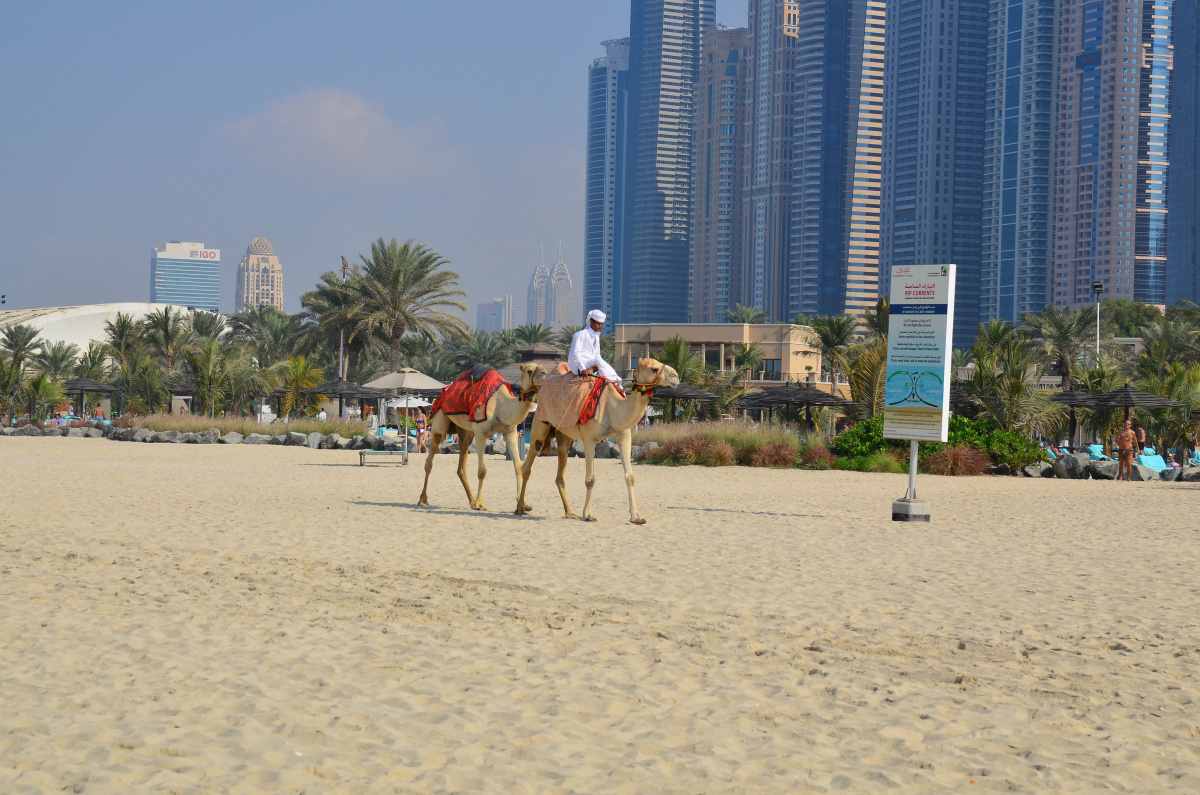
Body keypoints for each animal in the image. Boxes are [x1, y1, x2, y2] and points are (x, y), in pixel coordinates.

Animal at [417, 365, 549, 513]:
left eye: (544, 369)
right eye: (529, 370)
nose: (545, 374)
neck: (500, 405)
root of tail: (445, 391)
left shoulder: (510, 432)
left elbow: (518, 466)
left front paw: (523, 504)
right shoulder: (481, 432)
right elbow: (482, 470)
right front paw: (480, 504)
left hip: (465, 432)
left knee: (461, 465)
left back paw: (471, 501)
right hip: (440, 418)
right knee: (430, 459)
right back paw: (423, 499)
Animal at [516, 357, 681, 525]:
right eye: (654, 368)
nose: (675, 376)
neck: (612, 409)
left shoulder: (624, 438)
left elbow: (630, 476)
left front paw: (637, 517)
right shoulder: (589, 439)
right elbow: (590, 479)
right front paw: (588, 515)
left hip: (564, 436)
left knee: (559, 473)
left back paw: (569, 513)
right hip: (540, 424)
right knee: (527, 465)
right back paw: (521, 508)